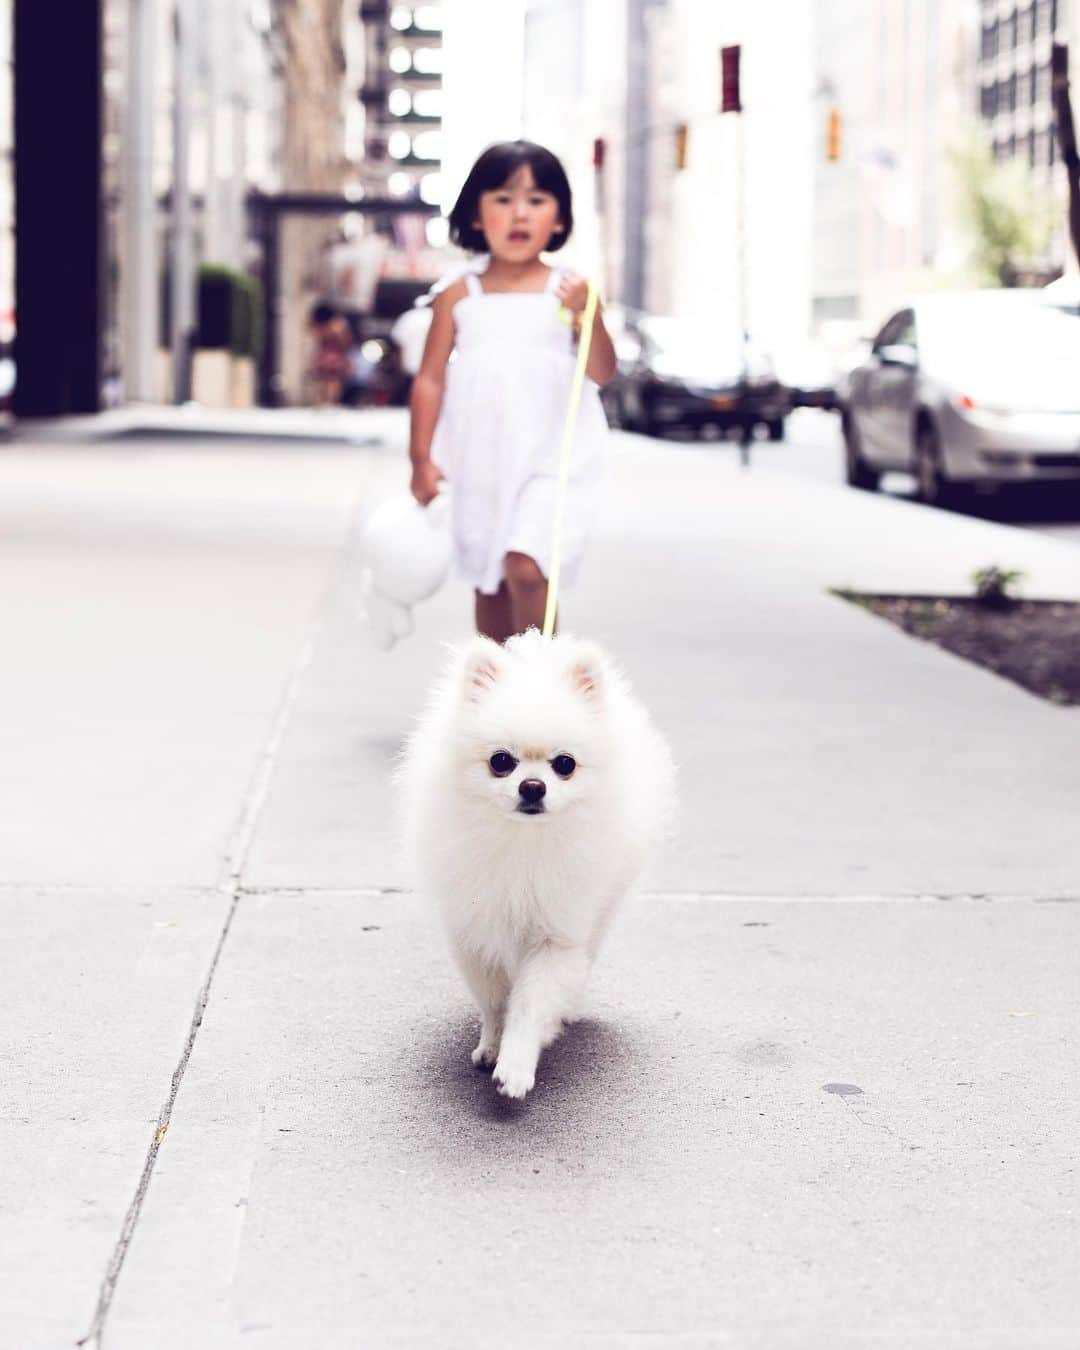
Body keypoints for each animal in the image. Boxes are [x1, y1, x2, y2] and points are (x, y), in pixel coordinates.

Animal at [402, 629, 675, 1096]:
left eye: (564, 764)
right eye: (501, 761)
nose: (532, 786)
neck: (522, 842)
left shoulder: (555, 936)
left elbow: (530, 1002)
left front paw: (516, 1063)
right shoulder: (474, 933)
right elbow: (495, 1001)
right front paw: (493, 1044)